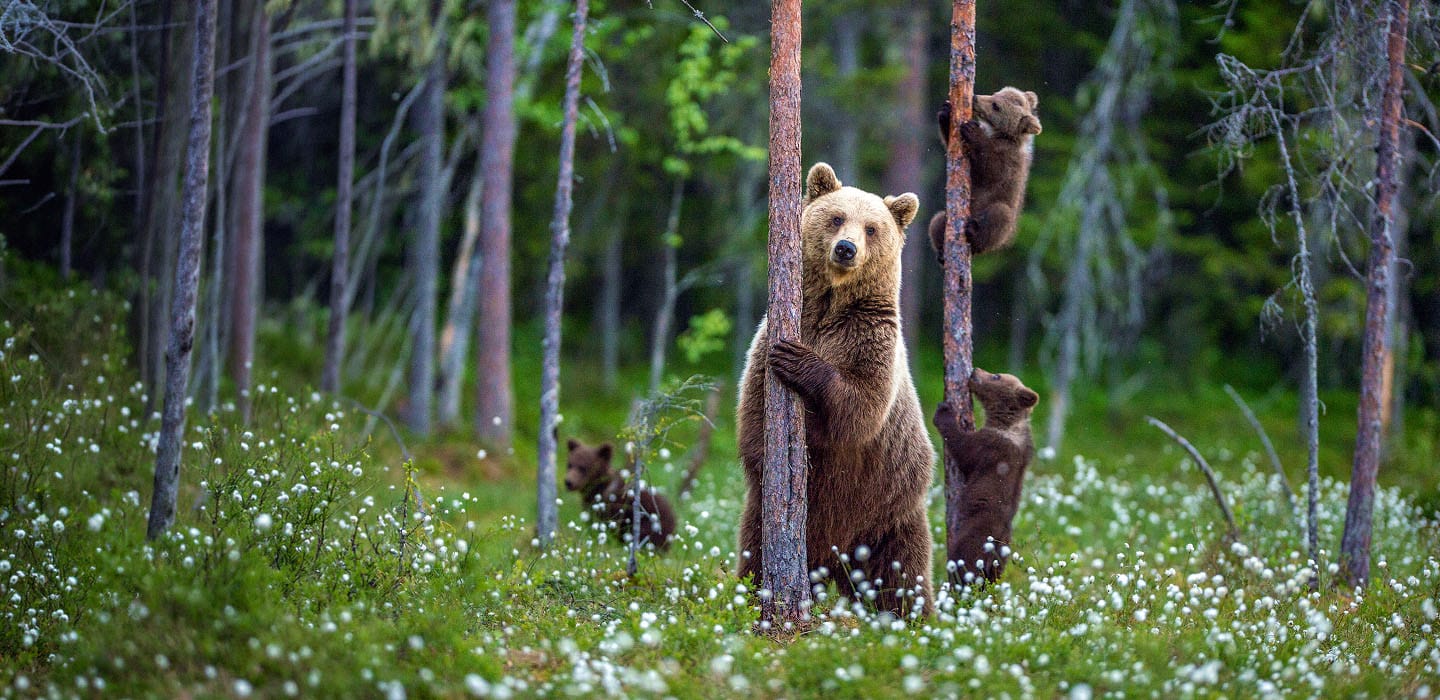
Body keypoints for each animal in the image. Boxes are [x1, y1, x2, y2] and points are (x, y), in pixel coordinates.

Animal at [736, 162, 936, 617]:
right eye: (836, 217)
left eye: (872, 227)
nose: (846, 248)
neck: (831, 306)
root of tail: (834, 558)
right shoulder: (771, 336)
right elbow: (754, 411)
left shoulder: (870, 340)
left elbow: (860, 408)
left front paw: (798, 361)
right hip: (765, 520)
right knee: (754, 554)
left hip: (888, 512)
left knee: (902, 575)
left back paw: (915, 618)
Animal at [927, 86, 1042, 261]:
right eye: (995, 94)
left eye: (996, 106)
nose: (975, 97)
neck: (999, 134)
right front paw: (946, 112)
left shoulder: (1009, 159)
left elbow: (991, 171)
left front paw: (972, 130)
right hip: (946, 217)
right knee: (937, 220)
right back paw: (941, 252)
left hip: (1003, 221)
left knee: (999, 216)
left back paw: (974, 233)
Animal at [930, 368, 1039, 585]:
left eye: (996, 376)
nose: (974, 371)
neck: (1006, 423)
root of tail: (993, 549)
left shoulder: (990, 447)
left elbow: (963, 448)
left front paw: (944, 411)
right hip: (1003, 557)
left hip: (973, 538)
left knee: (963, 564)